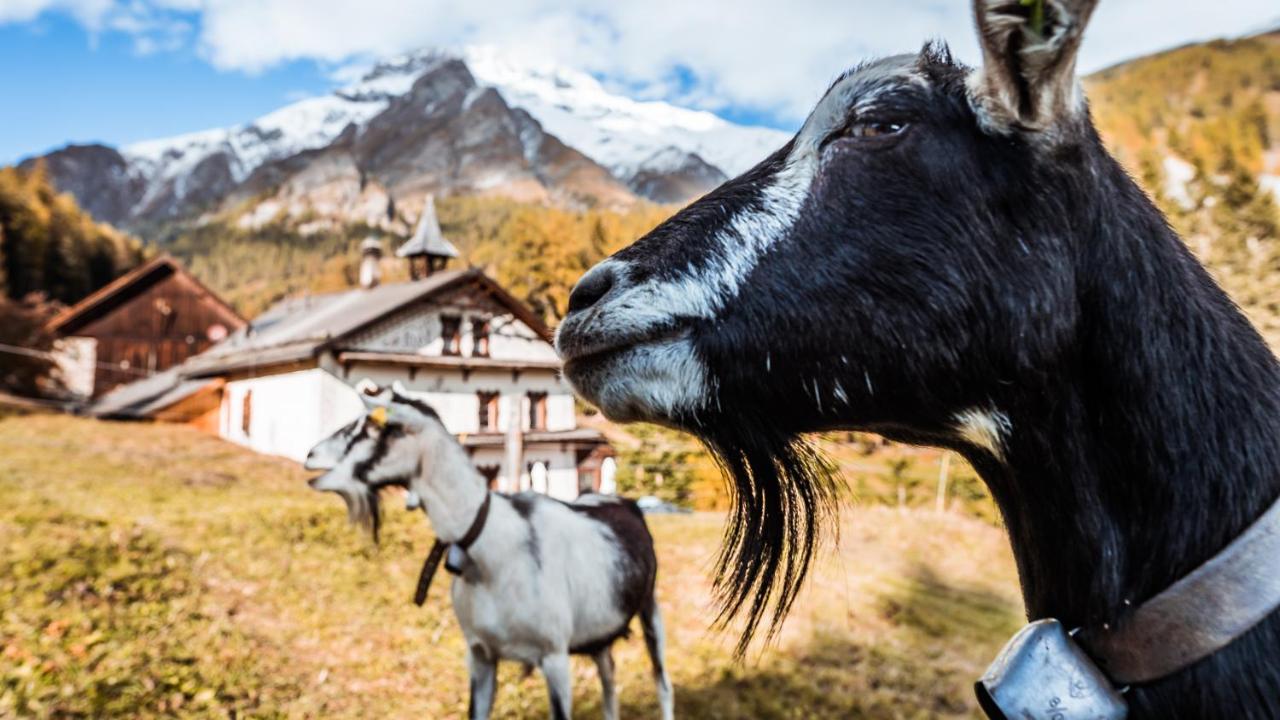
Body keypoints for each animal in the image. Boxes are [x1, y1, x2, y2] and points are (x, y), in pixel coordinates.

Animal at [304, 379, 675, 712]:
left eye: (373, 427)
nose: (310, 455)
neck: (489, 545)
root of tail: (624, 502)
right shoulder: (480, 655)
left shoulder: (554, 656)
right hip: (601, 632)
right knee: (609, 680)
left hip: (650, 607)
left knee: (663, 684)